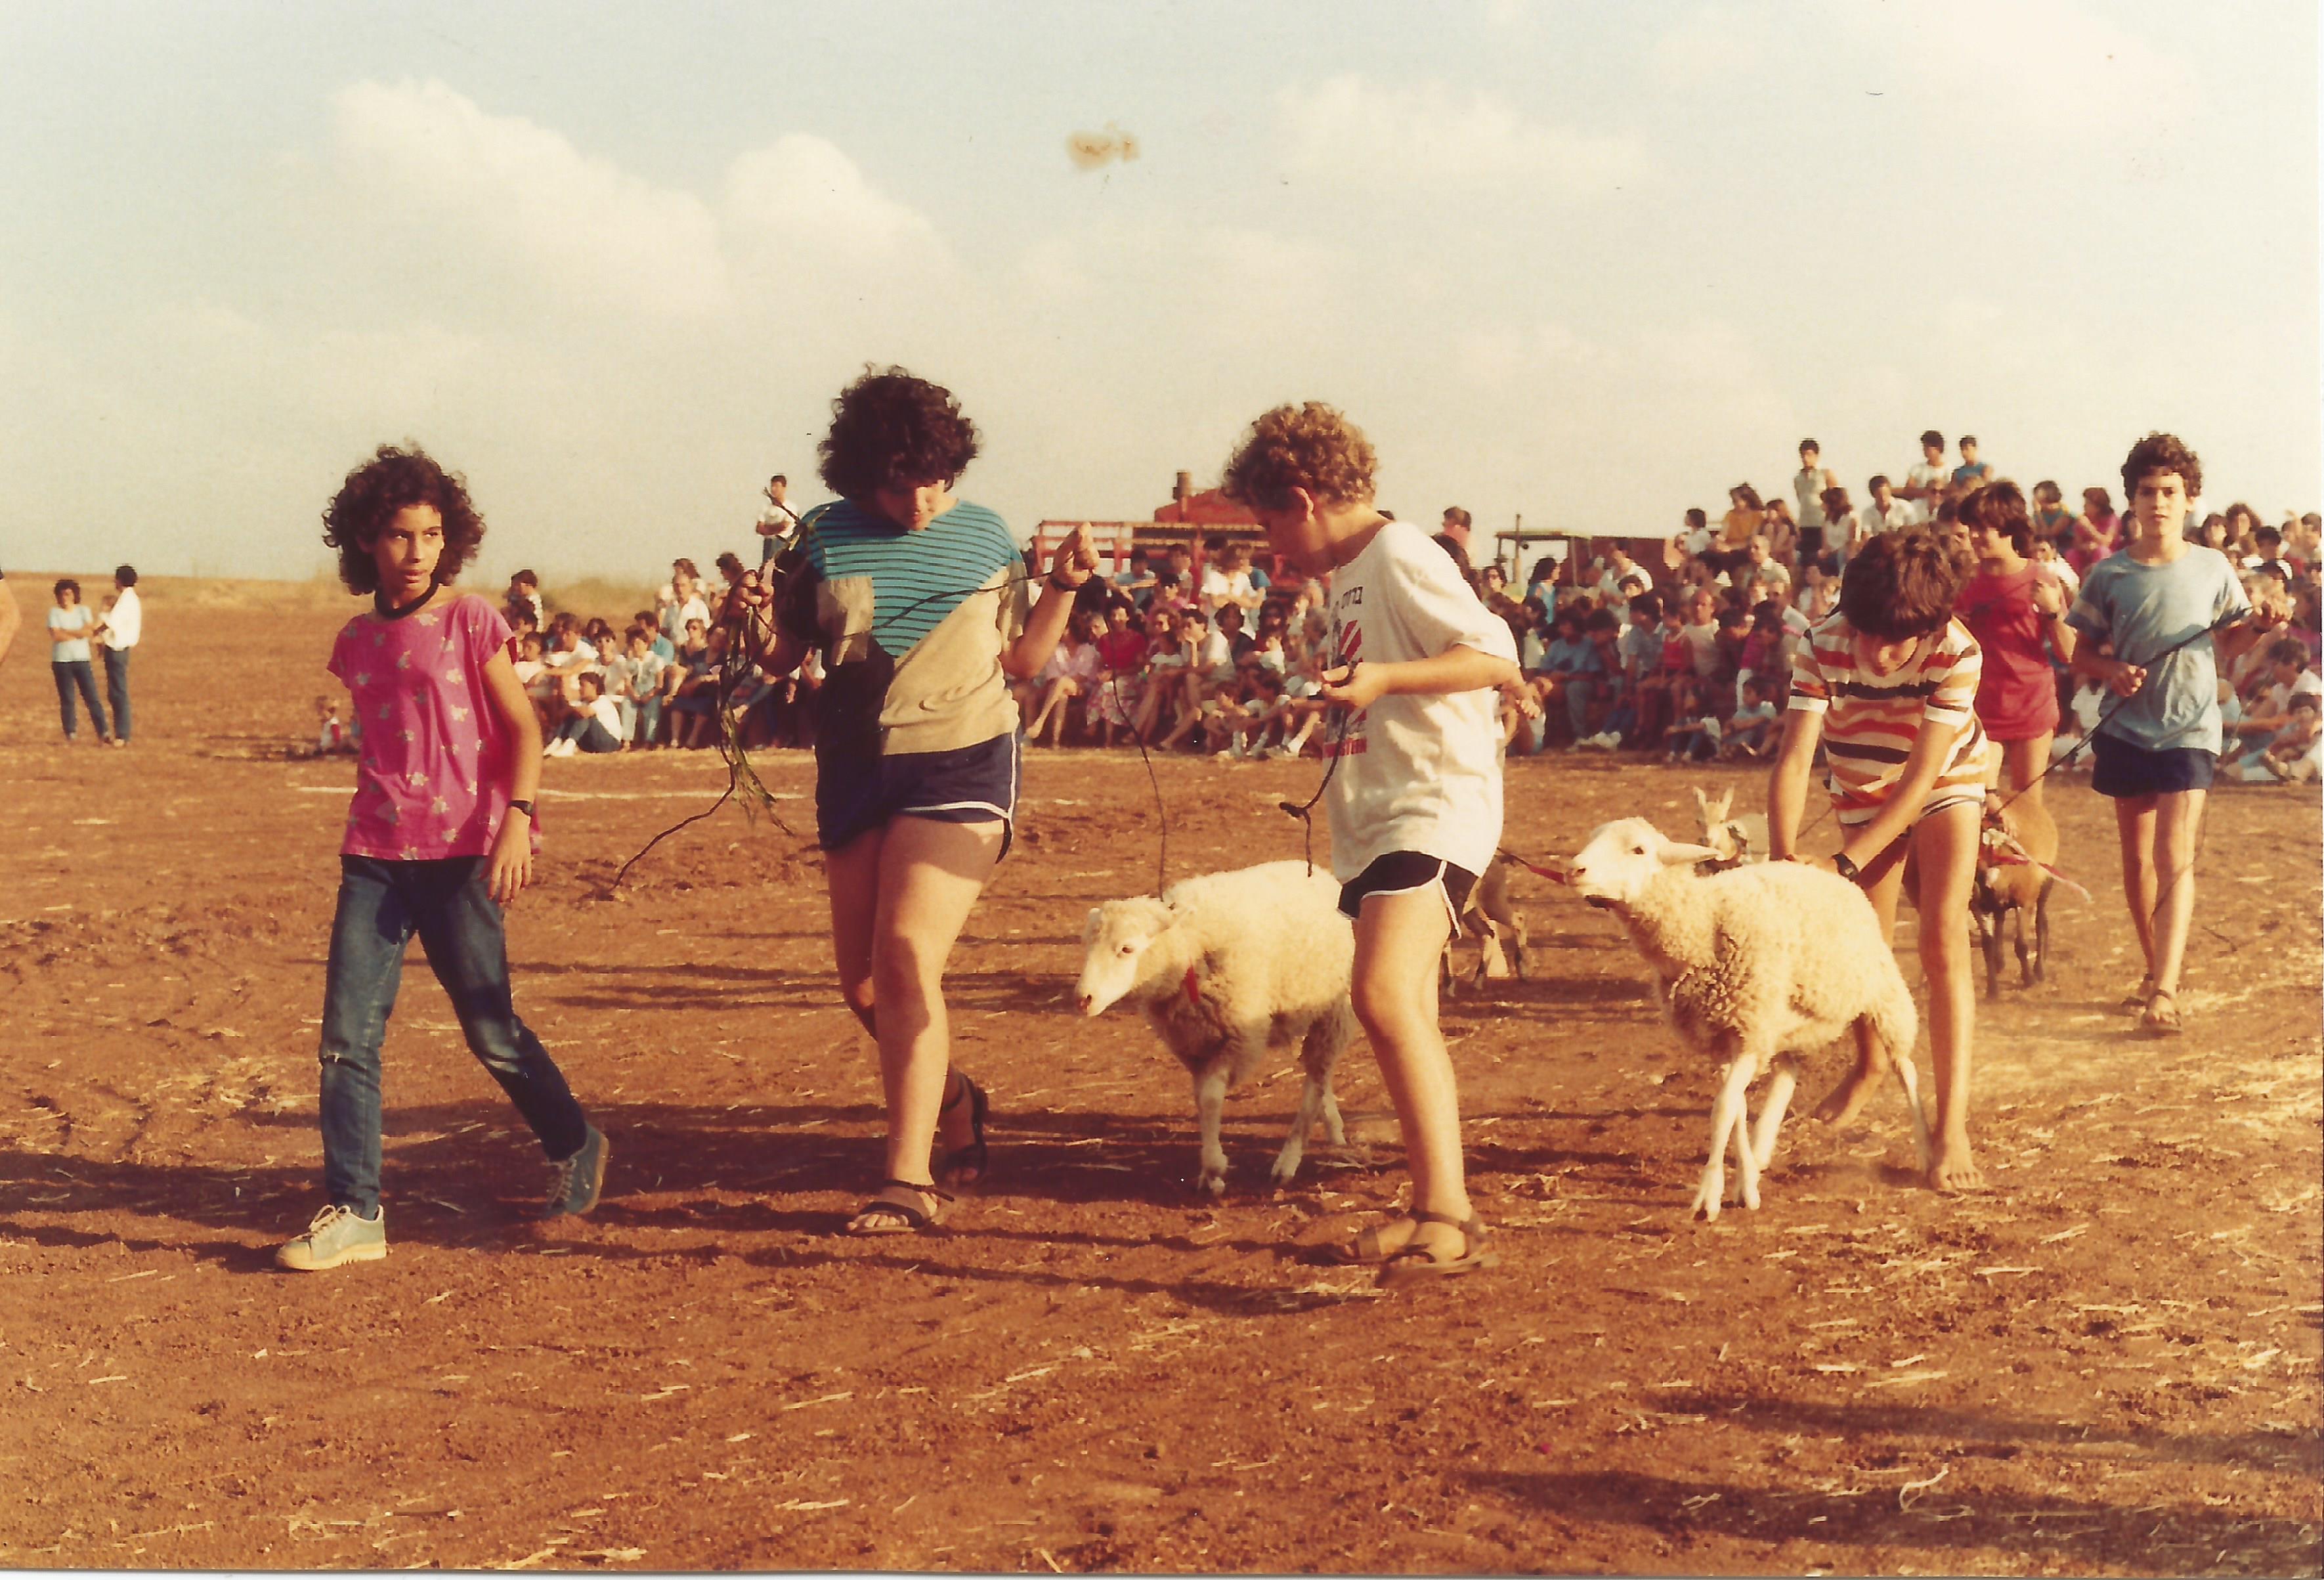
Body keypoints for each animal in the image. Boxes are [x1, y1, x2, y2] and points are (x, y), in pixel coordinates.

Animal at [1073, 864, 1357, 1198]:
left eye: (1126, 949)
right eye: (1087, 945)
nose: (1083, 999)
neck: (1191, 947)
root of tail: (1322, 874)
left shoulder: (1236, 1038)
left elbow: (1210, 1098)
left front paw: (1214, 1168)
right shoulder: (1193, 1045)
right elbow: (1201, 1100)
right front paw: (1210, 1174)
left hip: (1333, 1012)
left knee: (1315, 1081)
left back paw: (1288, 1161)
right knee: (1320, 1074)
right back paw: (1333, 1127)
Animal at [1571, 813, 1933, 1218]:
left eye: (1638, 850)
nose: (1575, 870)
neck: (1705, 924)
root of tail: (1831, 875)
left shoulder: (1748, 1032)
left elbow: (1723, 1109)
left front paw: (1709, 1195)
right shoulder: (1723, 1036)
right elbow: (1737, 1108)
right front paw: (1746, 1184)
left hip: (1884, 992)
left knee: (1905, 1068)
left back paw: (1926, 1151)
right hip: (1783, 1020)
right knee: (1789, 1073)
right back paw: (1762, 1147)